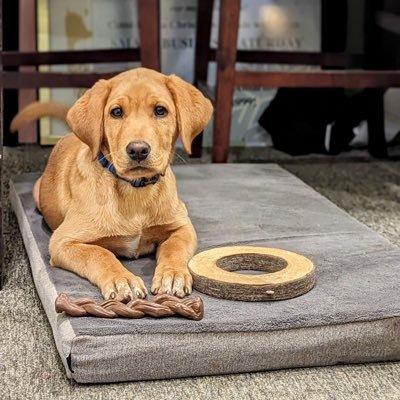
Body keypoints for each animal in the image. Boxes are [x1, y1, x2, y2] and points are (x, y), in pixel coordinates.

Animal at [11, 68, 212, 300]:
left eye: (160, 111)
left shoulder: (182, 225)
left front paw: (172, 274)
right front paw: (121, 280)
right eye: (116, 112)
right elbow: (99, 253)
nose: (137, 150)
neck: (135, 190)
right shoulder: (63, 241)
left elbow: (174, 246)